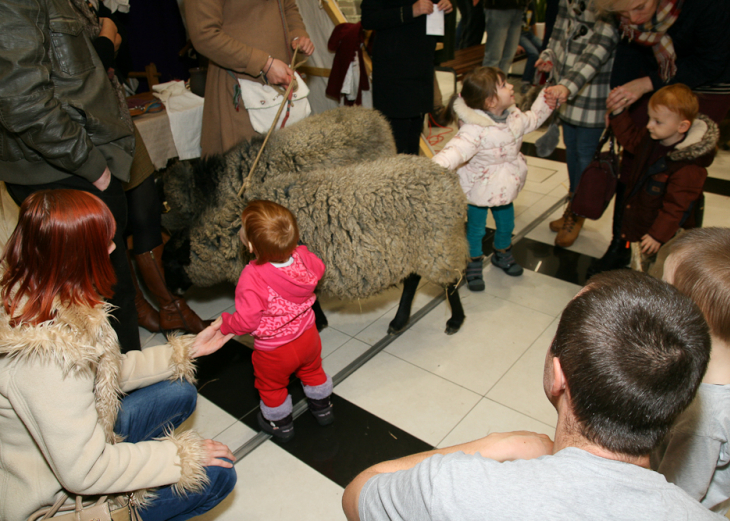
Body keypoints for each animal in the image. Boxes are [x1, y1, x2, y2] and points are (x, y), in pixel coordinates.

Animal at [161, 105, 466, 334]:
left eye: (171, 263)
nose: (171, 292)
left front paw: (316, 322)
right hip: (416, 248)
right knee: (415, 279)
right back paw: (401, 320)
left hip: (436, 246)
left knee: (449, 281)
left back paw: (454, 320)